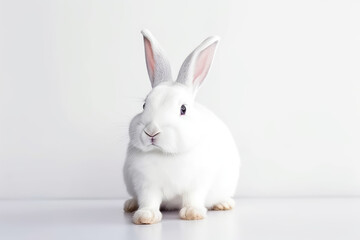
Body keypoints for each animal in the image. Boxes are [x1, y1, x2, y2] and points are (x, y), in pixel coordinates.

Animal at [122, 29, 240, 224]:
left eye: (183, 109)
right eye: (144, 105)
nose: (151, 132)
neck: (166, 155)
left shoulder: (197, 183)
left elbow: (193, 198)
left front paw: (192, 213)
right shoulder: (146, 185)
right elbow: (149, 201)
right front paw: (146, 216)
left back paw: (224, 204)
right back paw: (130, 205)